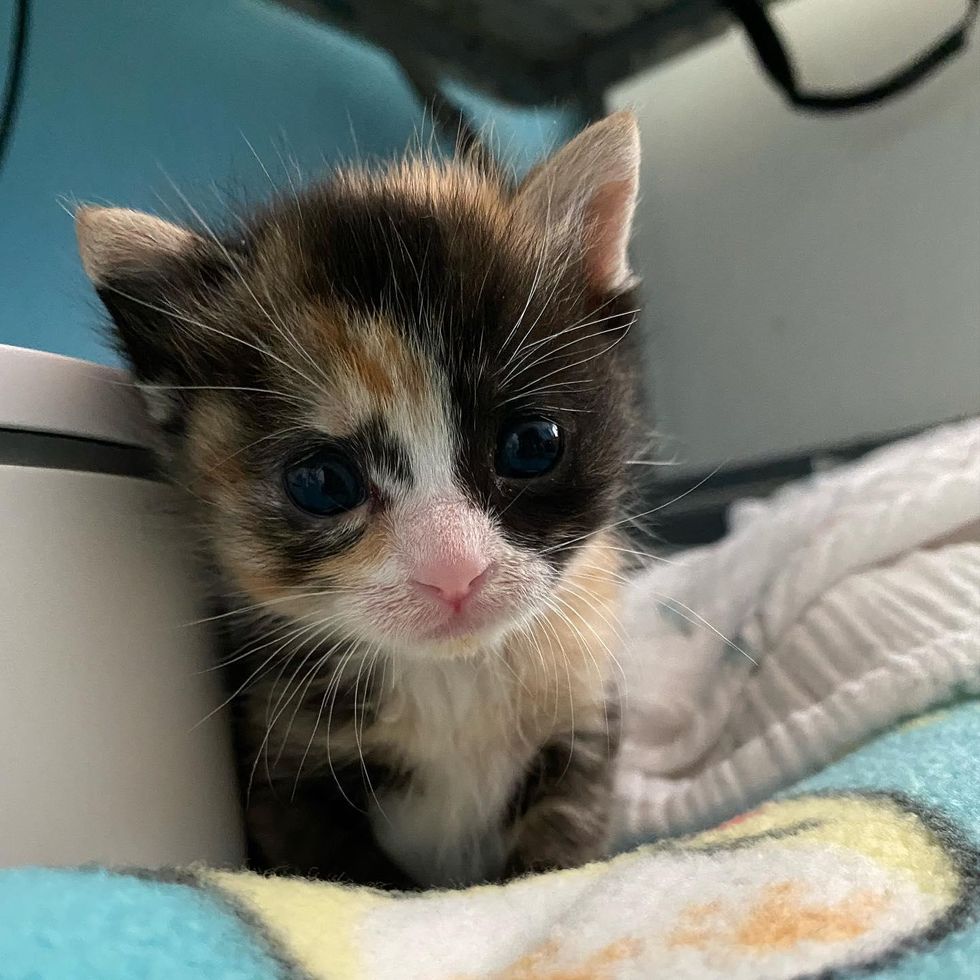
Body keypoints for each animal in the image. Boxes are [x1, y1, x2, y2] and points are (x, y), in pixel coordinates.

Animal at [74, 111, 644, 892]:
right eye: (324, 483)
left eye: (532, 444)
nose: (454, 572)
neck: (451, 676)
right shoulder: (281, 770)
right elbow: (351, 877)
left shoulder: (584, 709)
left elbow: (565, 836)